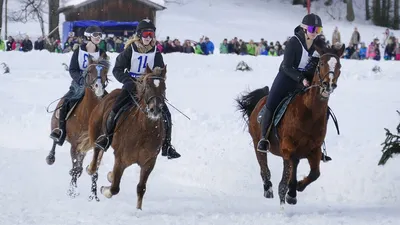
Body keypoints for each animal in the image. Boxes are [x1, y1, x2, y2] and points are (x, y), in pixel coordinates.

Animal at [45, 55, 109, 197]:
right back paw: (50, 157)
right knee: (55, 141)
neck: (89, 113)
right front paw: (72, 192)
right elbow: (76, 167)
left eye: (105, 72)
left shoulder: (98, 147)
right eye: (89, 72)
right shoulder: (75, 145)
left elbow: (93, 171)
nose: (98, 88)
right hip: (58, 129)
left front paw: (93, 196)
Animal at [78, 63, 167, 209]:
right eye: (148, 86)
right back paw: (91, 169)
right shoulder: (121, 159)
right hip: (96, 133)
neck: (144, 130)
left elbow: (141, 188)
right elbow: (114, 188)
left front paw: (138, 210)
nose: (155, 109)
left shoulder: (149, 163)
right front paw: (105, 189)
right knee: (97, 151)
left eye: (164, 87)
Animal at [236, 43, 346, 207]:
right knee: (264, 166)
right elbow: (287, 176)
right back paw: (268, 189)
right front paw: (288, 193)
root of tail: (260, 101)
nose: (328, 84)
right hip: (258, 142)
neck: (309, 112)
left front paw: (296, 189)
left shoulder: (314, 150)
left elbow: (315, 174)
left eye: (339, 65)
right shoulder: (288, 148)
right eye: (320, 64)